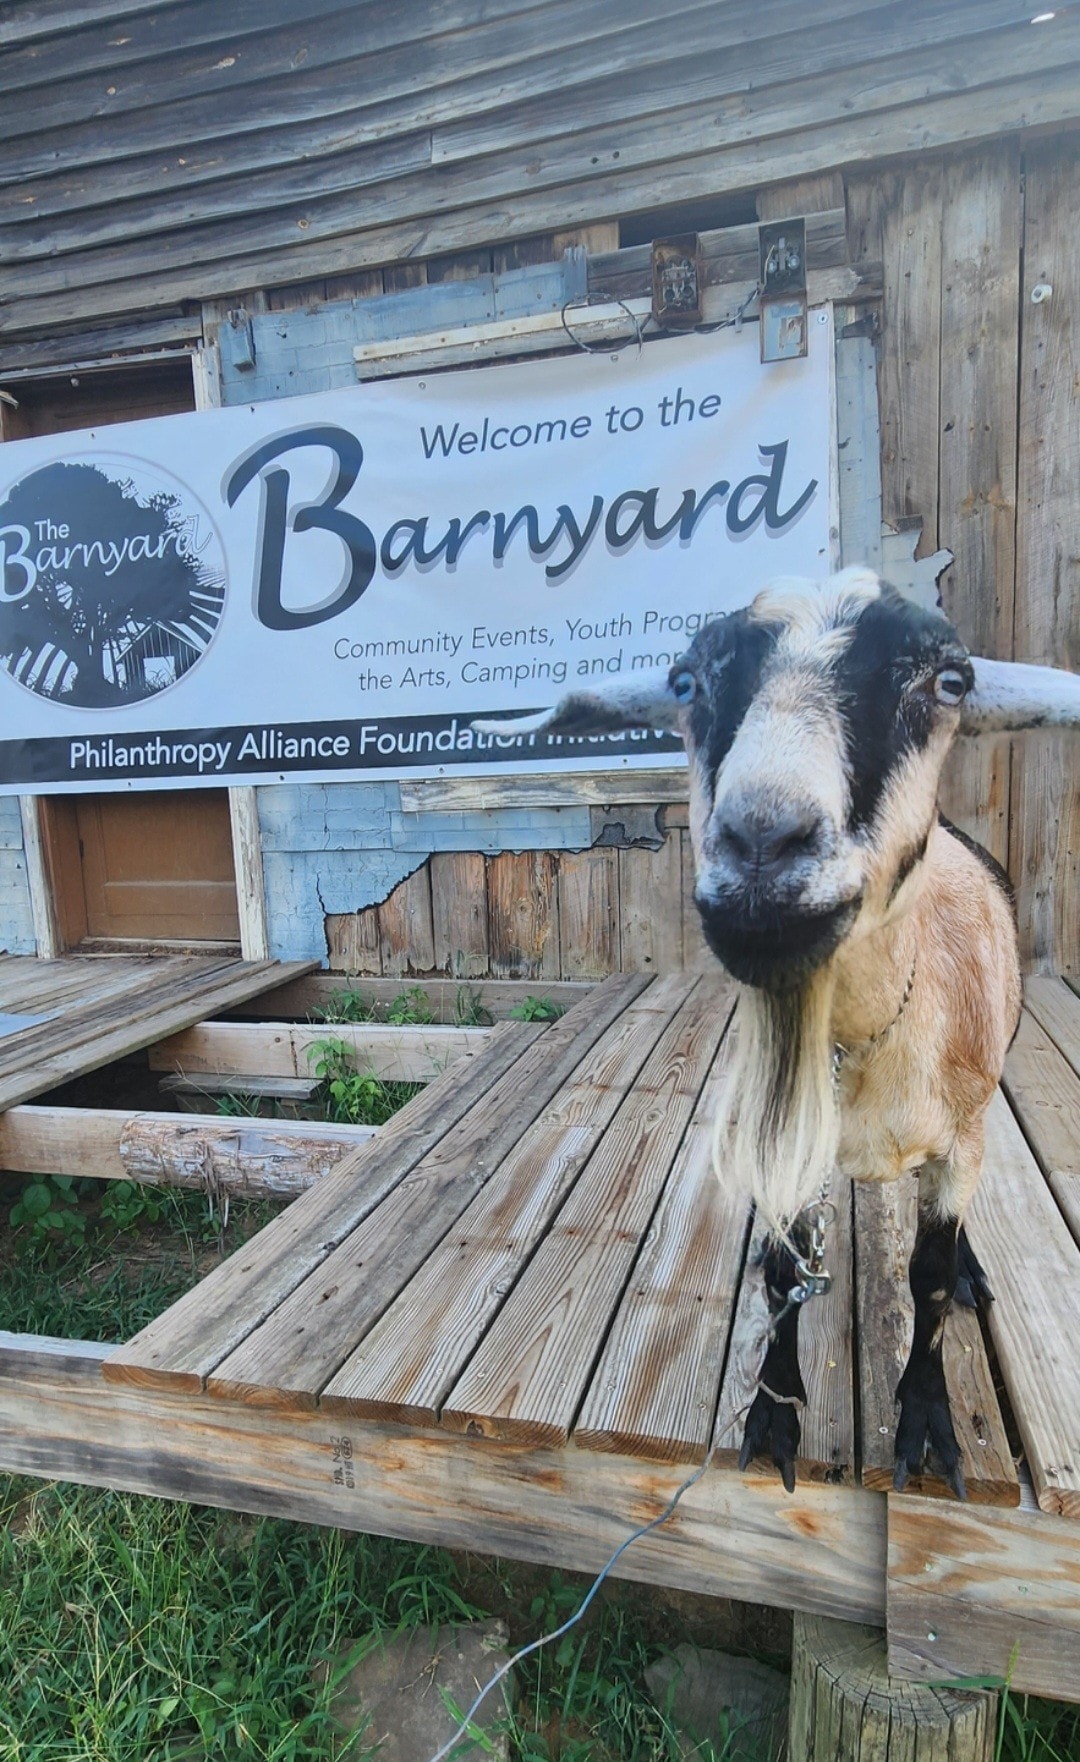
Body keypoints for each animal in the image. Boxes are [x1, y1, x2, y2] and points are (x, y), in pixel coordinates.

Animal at [479, 570, 1078, 1494]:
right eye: (685, 681)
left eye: (951, 681)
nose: (763, 842)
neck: (862, 1043)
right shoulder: (789, 1145)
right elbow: (786, 1270)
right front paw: (772, 1412)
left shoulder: (960, 1143)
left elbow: (930, 1279)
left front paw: (925, 1419)